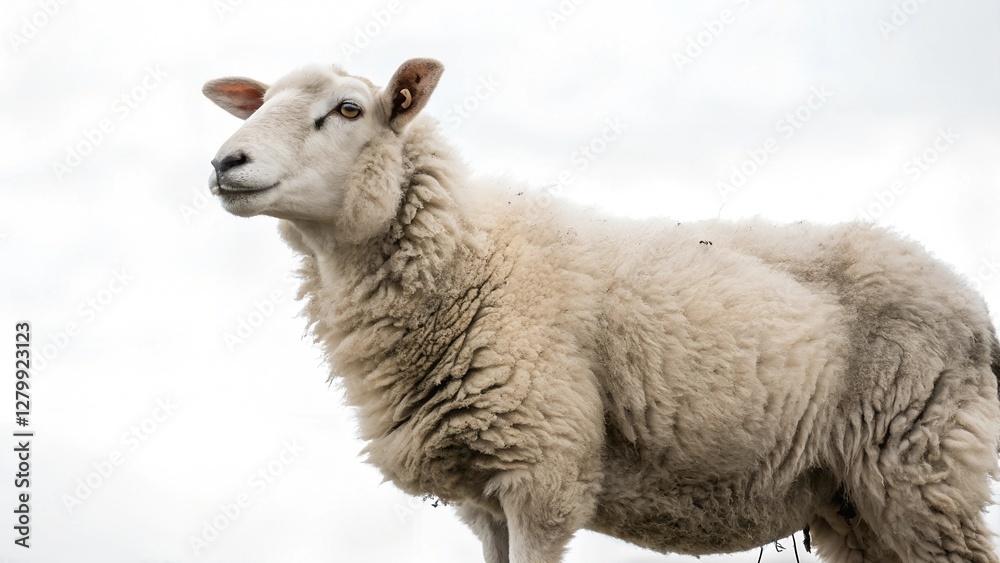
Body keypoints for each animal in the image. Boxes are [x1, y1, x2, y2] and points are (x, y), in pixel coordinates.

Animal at [203, 58, 1000, 563]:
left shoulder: (543, 469)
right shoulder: (480, 494)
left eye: (347, 109)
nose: (224, 163)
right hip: (856, 501)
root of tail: (969, 302)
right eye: (262, 101)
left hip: (922, 465)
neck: (472, 257)